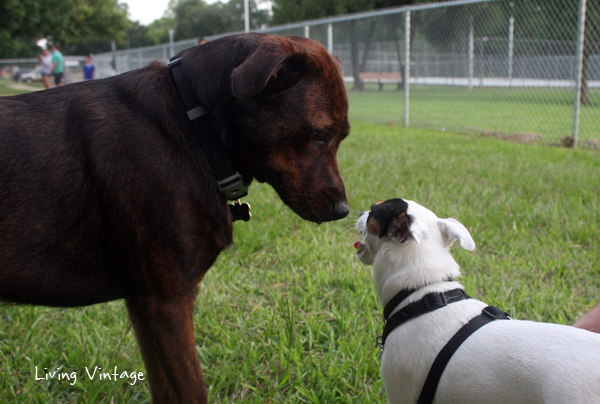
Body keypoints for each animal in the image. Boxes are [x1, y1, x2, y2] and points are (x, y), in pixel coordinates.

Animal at [0, 33, 350, 402]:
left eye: (342, 137)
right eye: (319, 135)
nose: (343, 209)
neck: (195, 126)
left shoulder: (143, 305)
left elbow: (163, 389)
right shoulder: (166, 303)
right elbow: (193, 390)